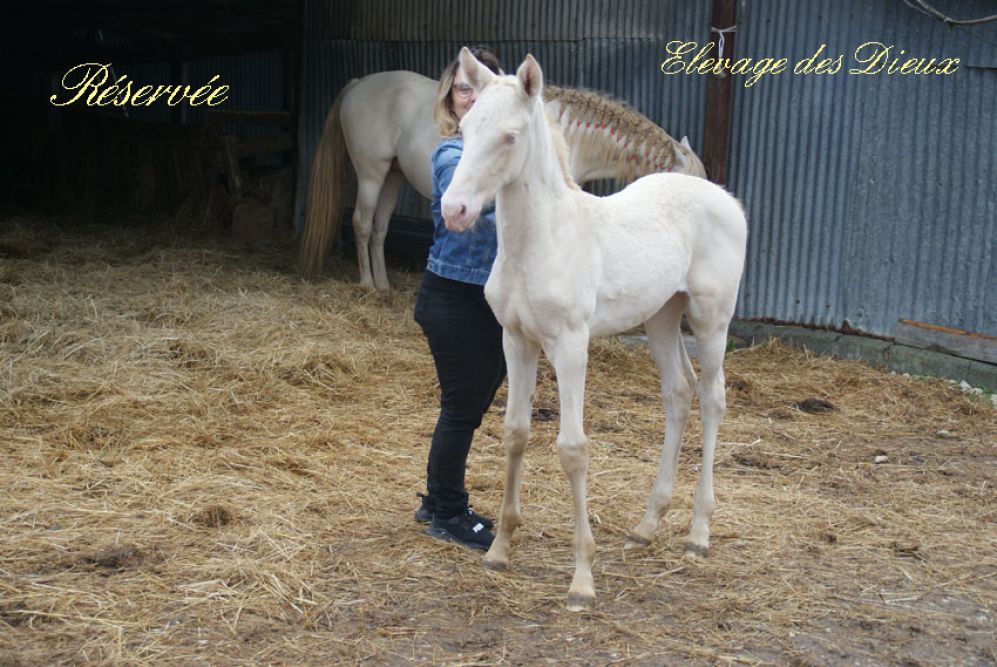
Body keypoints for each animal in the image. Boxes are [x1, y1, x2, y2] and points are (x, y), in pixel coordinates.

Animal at [298, 70, 706, 289]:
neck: (567, 134)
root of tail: (357, 84)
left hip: (393, 176)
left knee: (380, 229)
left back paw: (383, 285)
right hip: (372, 172)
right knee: (361, 224)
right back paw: (367, 284)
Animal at [441, 48, 747, 611]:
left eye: (511, 136)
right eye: (466, 129)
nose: (455, 211)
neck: (540, 242)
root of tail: (718, 194)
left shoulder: (569, 345)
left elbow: (572, 448)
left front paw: (582, 579)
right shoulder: (515, 340)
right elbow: (515, 432)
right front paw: (499, 549)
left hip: (711, 317)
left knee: (713, 397)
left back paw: (698, 532)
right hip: (662, 316)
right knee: (679, 392)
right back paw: (647, 525)